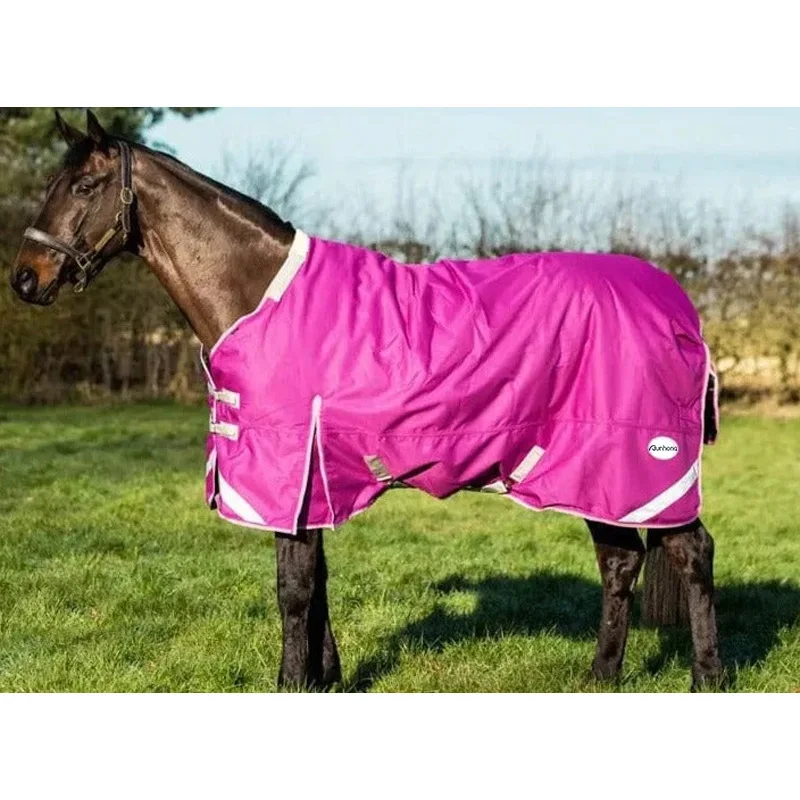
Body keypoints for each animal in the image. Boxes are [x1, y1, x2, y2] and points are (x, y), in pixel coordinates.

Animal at [9, 110, 723, 691]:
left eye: (83, 187)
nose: (24, 279)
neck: (259, 296)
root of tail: (677, 306)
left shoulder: (286, 469)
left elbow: (293, 588)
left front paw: (292, 684)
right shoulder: (314, 479)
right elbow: (317, 581)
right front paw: (326, 678)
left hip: (639, 463)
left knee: (690, 553)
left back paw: (706, 678)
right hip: (592, 474)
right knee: (621, 560)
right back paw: (601, 677)